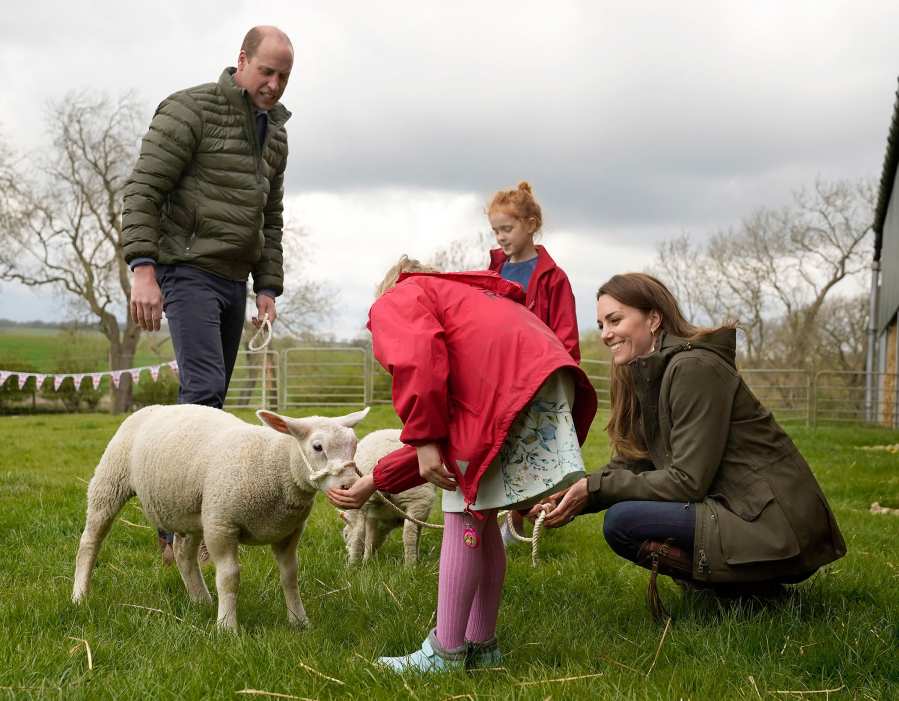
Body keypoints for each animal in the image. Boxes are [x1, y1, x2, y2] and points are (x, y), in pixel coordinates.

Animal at [69, 402, 366, 632]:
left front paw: (299, 621)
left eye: (354, 445)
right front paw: (227, 627)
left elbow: (290, 575)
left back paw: (201, 600)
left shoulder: (288, 532)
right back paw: (79, 595)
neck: (273, 464)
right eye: (317, 447)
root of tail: (153, 407)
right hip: (110, 482)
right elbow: (229, 577)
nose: (350, 485)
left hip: (192, 508)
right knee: (90, 541)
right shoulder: (221, 525)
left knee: (183, 552)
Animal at [340, 430, 438, 568]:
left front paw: (367, 560)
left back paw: (353, 565)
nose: (346, 550)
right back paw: (410, 566)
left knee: (359, 532)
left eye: (345, 535)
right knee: (409, 532)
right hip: (417, 497)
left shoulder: (373, 515)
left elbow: (369, 538)